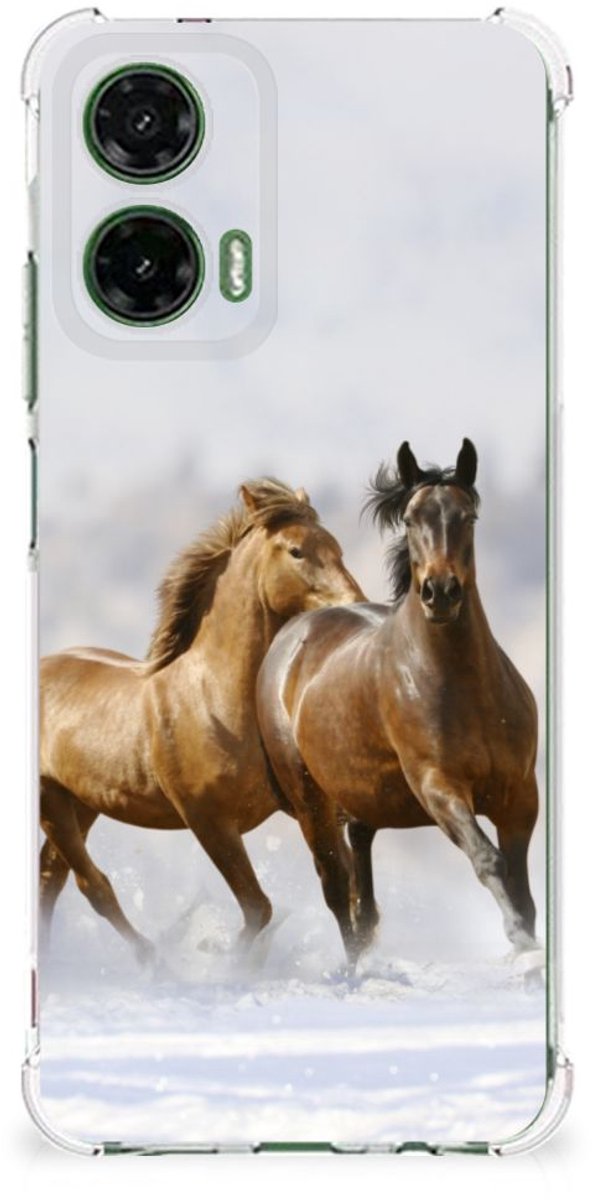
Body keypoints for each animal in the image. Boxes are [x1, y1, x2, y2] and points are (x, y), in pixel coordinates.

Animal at [39, 478, 364, 961]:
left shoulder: (307, 806)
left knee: (52, 876)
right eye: (296, 551)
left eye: (337, 547)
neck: (215, 700)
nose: (356, 605)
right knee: (90, 884)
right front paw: (226, 961)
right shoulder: (208, 821)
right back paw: (154, 961)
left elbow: (339, 883)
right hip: (53, 801)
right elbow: (258, 908)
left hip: (81, 802)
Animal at [256, 440, 539, 964]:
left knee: (361, 890)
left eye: (468, 516)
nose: (440, 592)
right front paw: (519, 941)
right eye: (409, 519)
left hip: (361, 800)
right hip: (310, 802)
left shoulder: (520, 795)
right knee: (336, 888)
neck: (465, 688)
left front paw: (528, 942)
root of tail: (291, 635)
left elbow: (522, 885)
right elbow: (488, 860)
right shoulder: (438, 787)